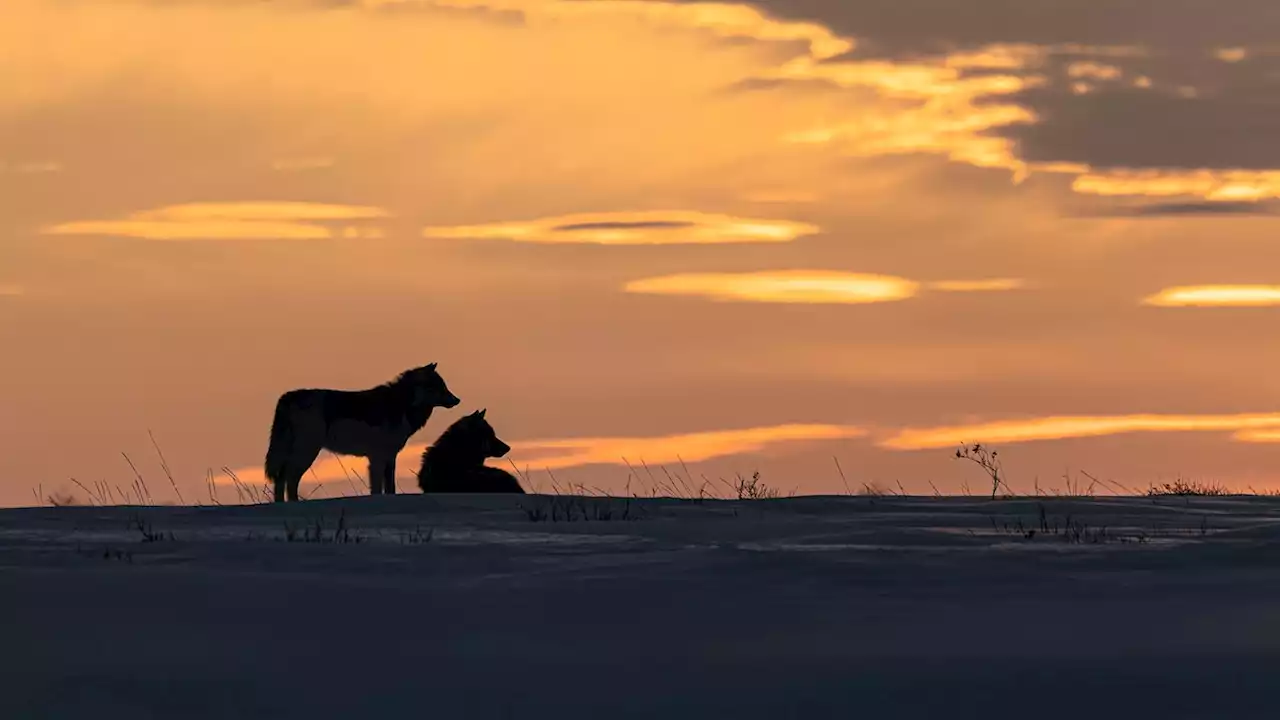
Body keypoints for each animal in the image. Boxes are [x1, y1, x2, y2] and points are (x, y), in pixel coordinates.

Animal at [263, 361, 460, 502]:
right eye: (440, 387)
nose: (457, 400)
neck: (402, 404)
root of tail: (287, 397)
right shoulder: (378, 458)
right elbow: (378, 489)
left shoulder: (389, 457)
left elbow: (389, 488)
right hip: (307, 452)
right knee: (288, 479)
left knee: (281, 479)